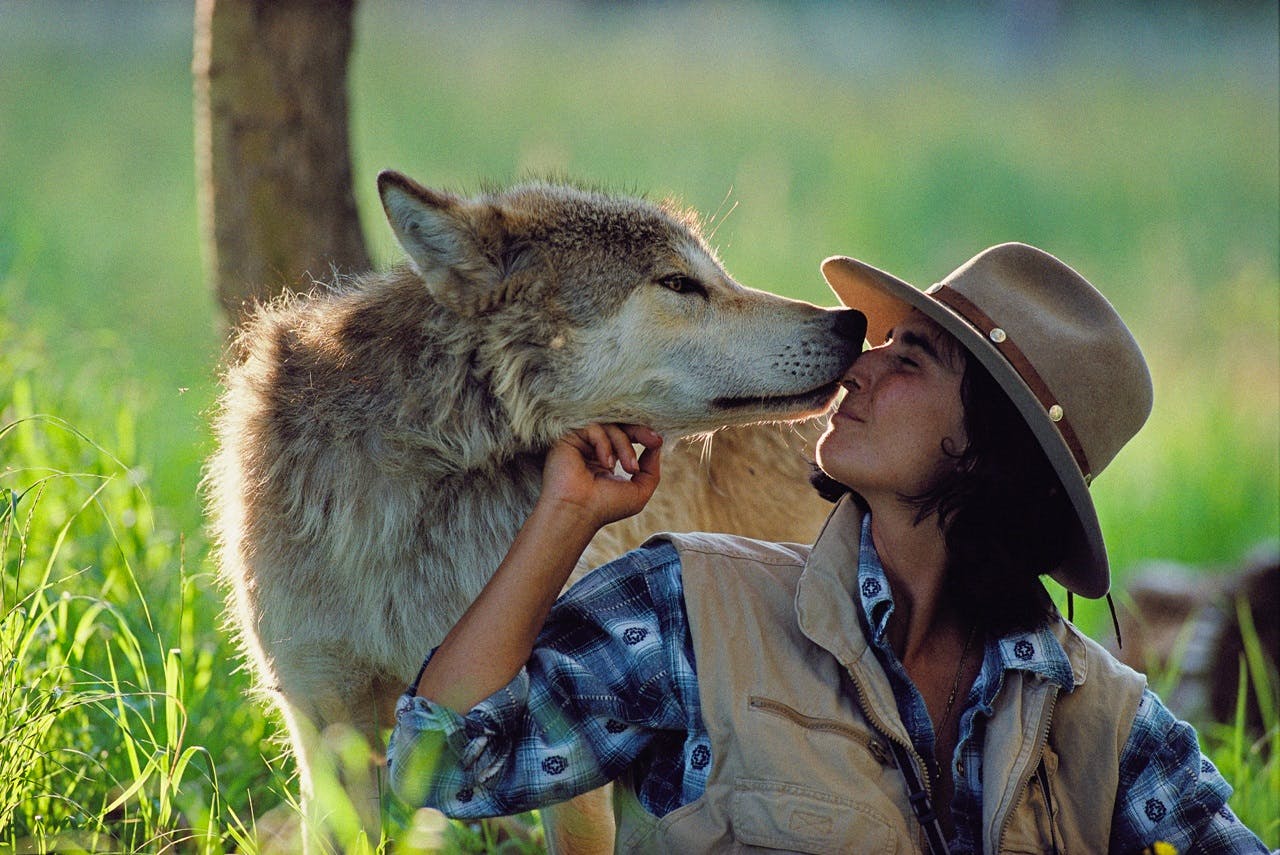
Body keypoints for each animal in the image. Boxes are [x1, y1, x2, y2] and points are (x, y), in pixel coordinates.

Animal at [205, 170, 863, 851]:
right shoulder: (329, 732)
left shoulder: (555, 729)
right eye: (679, 283)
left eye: (715, 275)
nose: (853, 321)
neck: (427, 488)